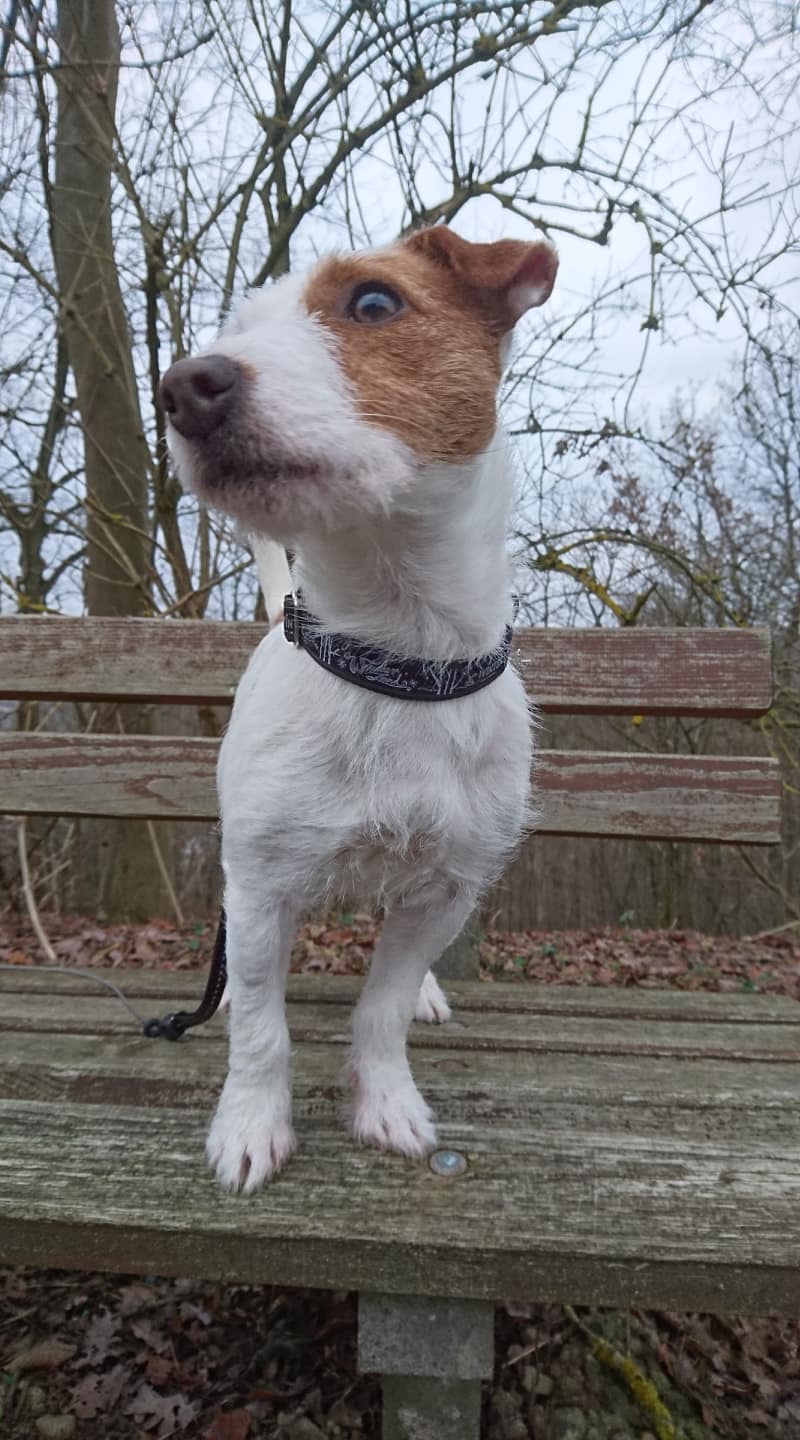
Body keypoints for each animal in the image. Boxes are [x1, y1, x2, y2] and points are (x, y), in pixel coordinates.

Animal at [159, 225, 557, 1192]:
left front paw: (387, 1102)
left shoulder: (449, 888)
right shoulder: (257, 889)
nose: (183, 386)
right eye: (237, 329)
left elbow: (381, 1008)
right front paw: (250, 1126)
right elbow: (260, 1027)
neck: (392, 660)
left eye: (374, 302)